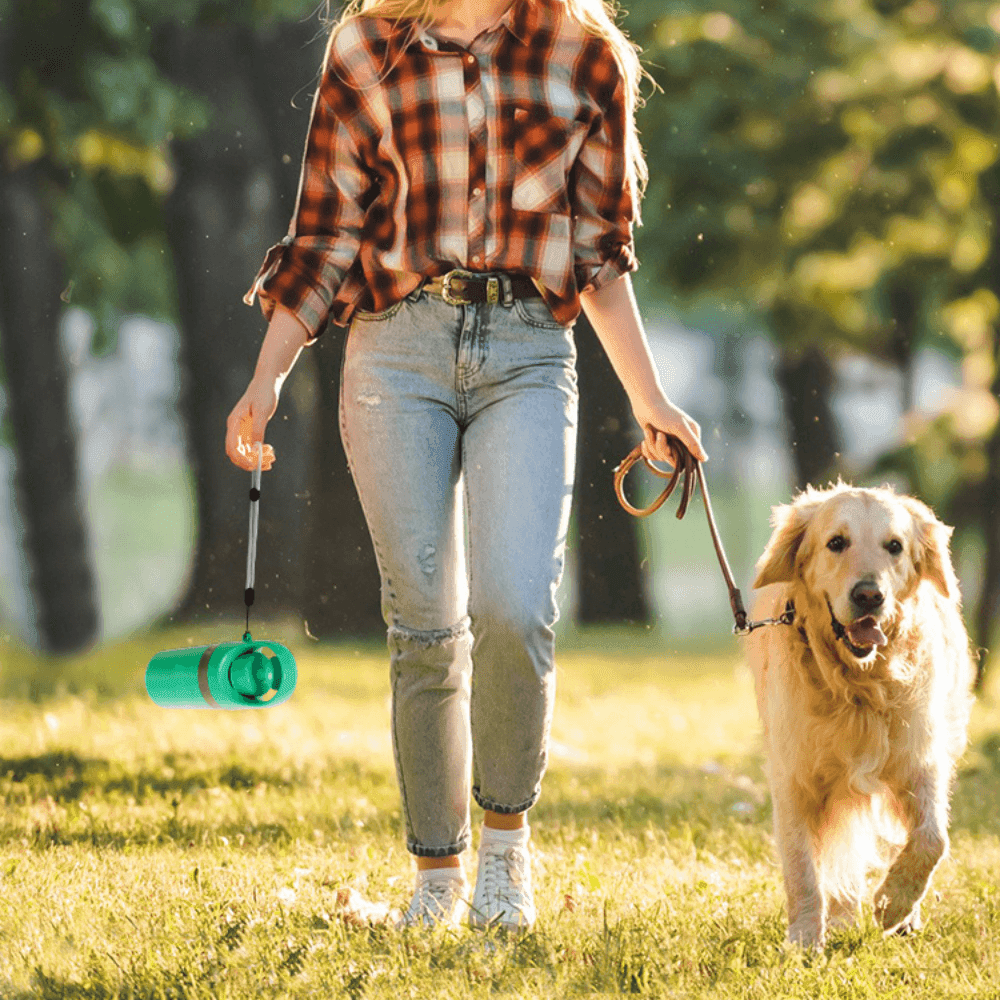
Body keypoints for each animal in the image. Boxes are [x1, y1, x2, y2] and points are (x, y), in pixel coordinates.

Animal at [748, 482, 972, 944]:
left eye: (894, 546)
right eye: (836, 543)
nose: (869, 595)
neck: (858, 686)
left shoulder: (921, 759)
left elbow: (932, 839)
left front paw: (893, 903)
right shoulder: (794, 777)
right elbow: (801, 868)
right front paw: (804, 939)